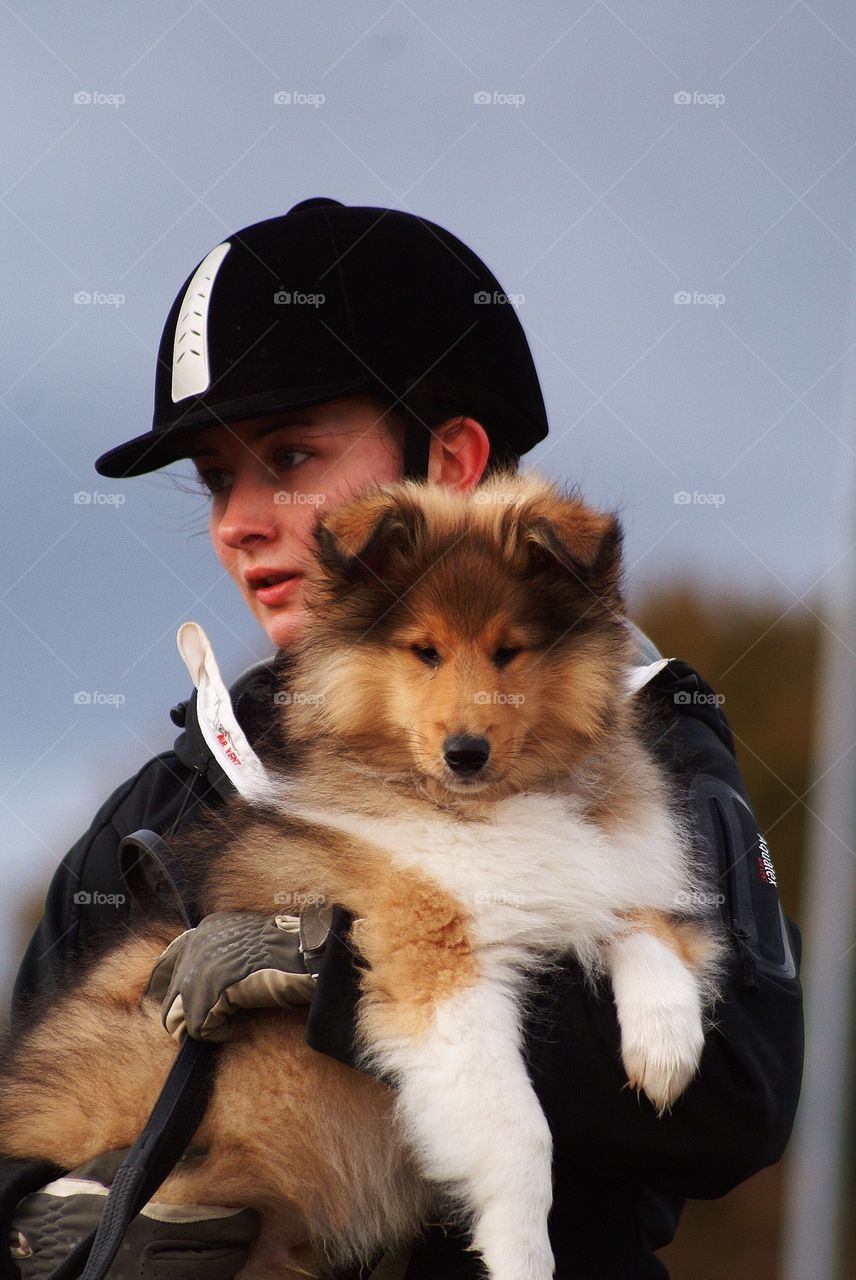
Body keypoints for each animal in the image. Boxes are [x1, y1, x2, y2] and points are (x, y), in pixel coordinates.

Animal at [0, 476, 726, 1274]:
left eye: (509, 650)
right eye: (424, 651)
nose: (465, 752)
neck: (479, 805)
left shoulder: (596, 868)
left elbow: (642, 921)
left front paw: (665, 1048)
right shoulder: (435, 965)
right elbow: (519, 1133)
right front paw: (523, 1258)